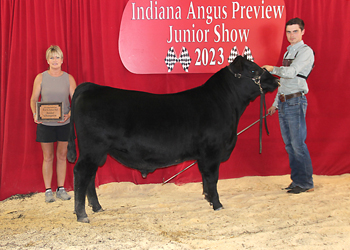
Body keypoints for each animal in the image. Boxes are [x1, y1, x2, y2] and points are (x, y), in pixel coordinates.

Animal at [67, 56, 278, 223]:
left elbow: (205, 178)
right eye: (253, 70)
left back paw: (97, 207)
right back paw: (81, 214)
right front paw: (218, 204)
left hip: (96, 152)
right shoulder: (212, 152)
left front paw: (208, 199)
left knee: (91, 176)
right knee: (81, 173)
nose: (275, 81)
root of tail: (92, 87)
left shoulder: (204, 155)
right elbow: (212, 178)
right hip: (92, 149)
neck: (225, 104)